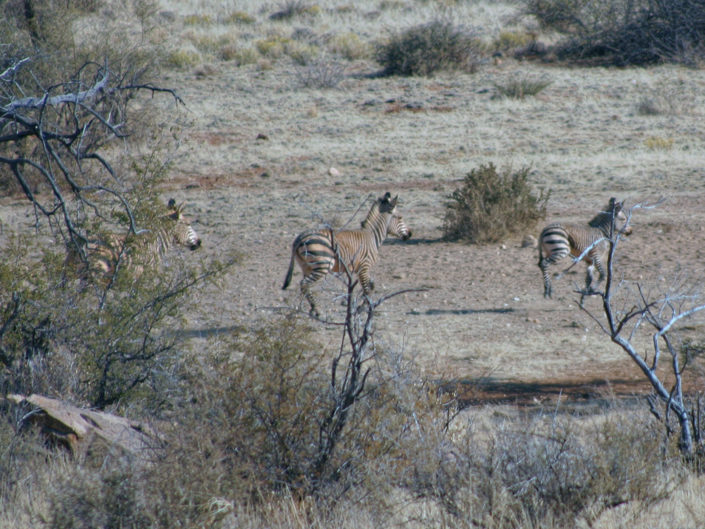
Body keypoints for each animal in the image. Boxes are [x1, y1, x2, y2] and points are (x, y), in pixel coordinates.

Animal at [67, 197, 201, 282]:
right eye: (188, 224)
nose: (200, 242)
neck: (156, 243)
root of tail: (81, 243)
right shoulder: (141, 278)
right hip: (94, 274)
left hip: (71, 272)